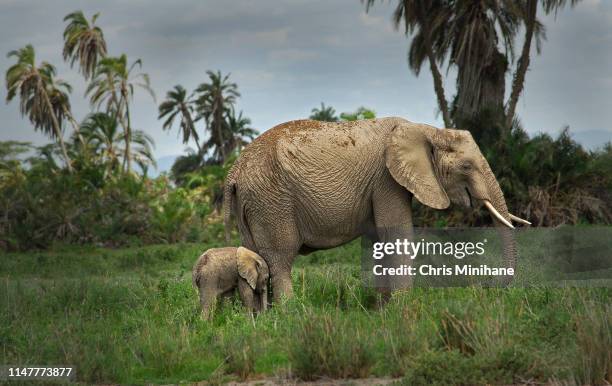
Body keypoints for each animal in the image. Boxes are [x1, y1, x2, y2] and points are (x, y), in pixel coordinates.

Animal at [222, 117, 528, 302]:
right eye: (466, 166)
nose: (488, 288)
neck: (426, 129)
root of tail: (234, 171)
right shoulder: (386, 180)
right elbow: (397, 235)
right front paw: (403, 310)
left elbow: (379, 241)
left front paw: (381, 310)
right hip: (271, 199)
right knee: (280, 258)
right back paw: (290, 314)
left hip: (252, 202)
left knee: (253, 255)